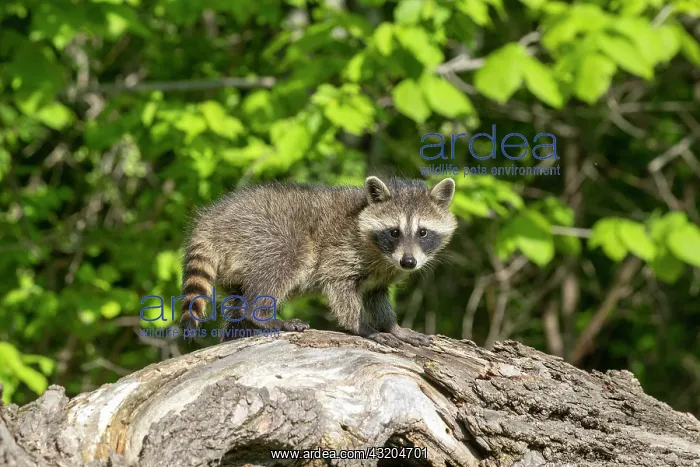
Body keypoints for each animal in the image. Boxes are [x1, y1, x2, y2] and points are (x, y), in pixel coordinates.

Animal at [179, 176, 458, 347]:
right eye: (394, 232)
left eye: (423, 232)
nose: (408, 262)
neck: (384, 255)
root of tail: (210, 221)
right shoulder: (342, 250)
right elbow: (339, 288)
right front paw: (364, 328)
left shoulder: (382, 275)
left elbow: (377, 297)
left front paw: (392, 326)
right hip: (263, 233)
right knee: (284, 260)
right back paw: (262, 315)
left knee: (238, 300)